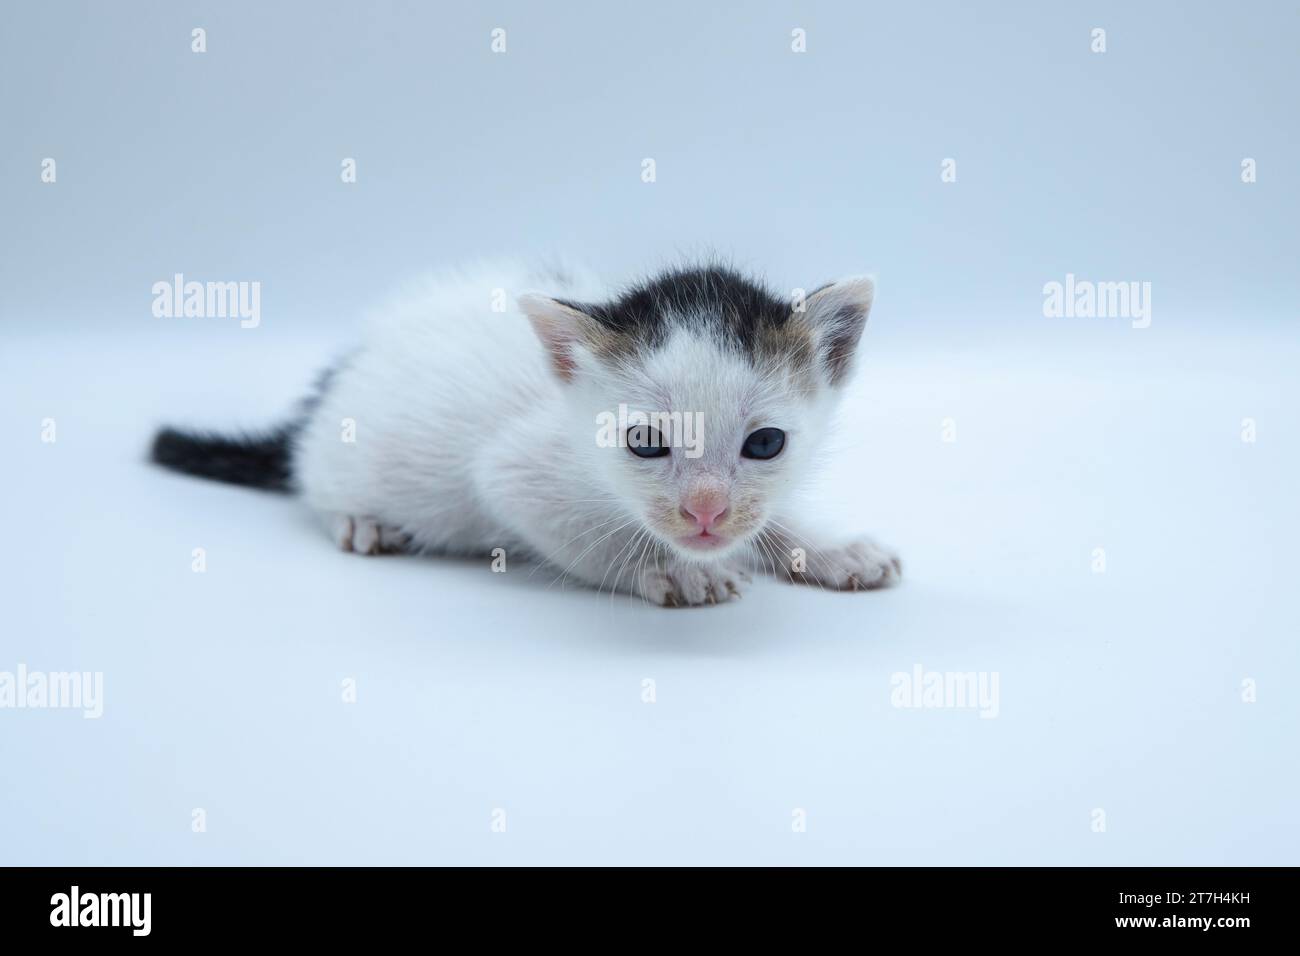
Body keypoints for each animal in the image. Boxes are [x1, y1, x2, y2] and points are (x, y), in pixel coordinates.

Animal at [152, 261, 899, 606]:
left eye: (765, 443)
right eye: (646, 442)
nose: (706, 512)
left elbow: (773, 520)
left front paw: (832, 548)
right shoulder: (518, 474)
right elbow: (582, 535)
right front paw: (673, 570)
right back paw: (360, 522)